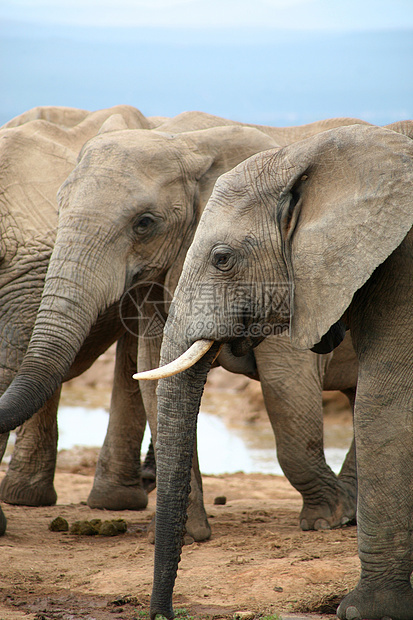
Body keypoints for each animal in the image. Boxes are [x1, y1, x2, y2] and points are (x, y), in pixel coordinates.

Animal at [134, 124, 410, 620]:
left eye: (222, 258)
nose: (163, 614)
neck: (307, 156)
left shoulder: (396, 266)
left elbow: (383, 402)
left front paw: (364, 609)